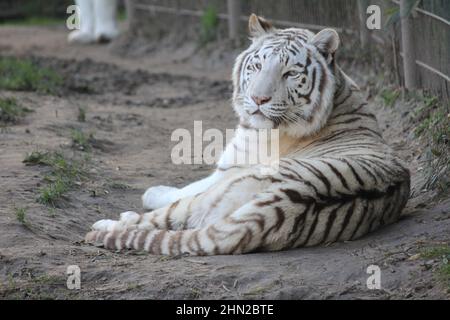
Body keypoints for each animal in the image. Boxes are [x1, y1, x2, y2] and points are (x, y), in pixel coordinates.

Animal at [85, 14, 412, 255]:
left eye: (290, 73)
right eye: (257, 65)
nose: (258, 99)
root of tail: (277, 208)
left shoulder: (228, 171)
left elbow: (184, 189)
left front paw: (151, 193)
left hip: (222, 192)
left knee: (163, 218)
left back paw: (109, 224)